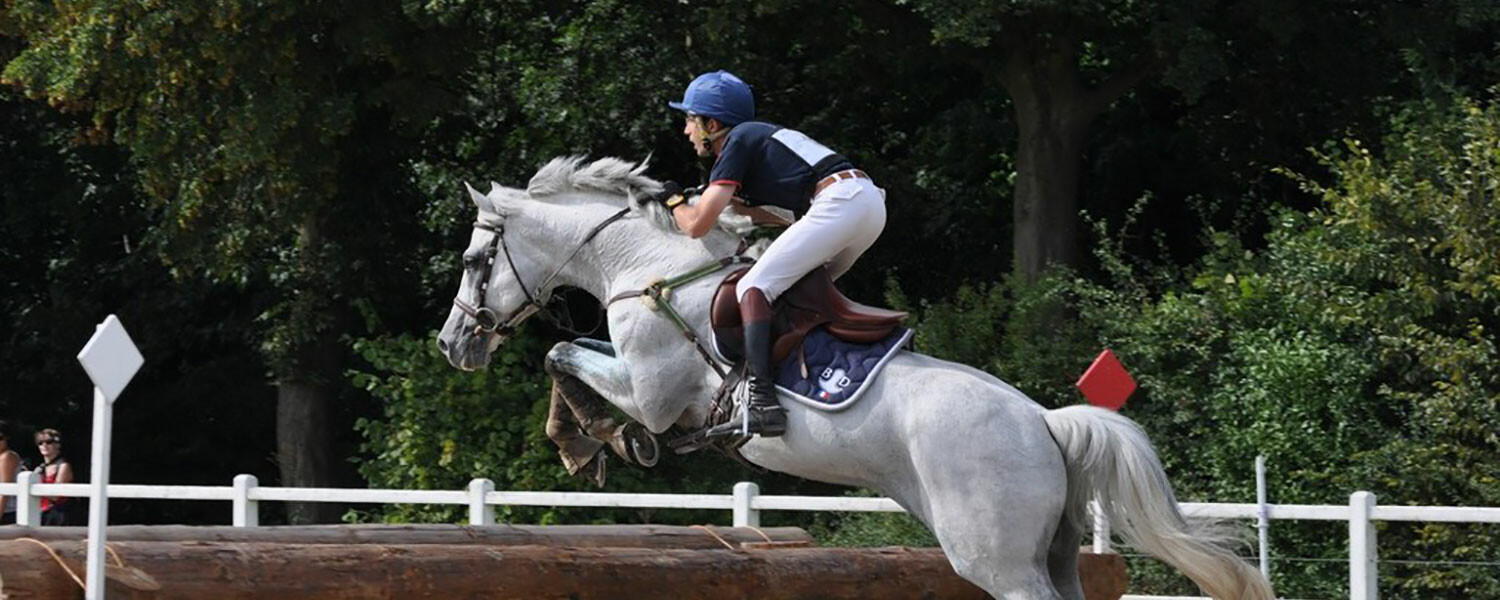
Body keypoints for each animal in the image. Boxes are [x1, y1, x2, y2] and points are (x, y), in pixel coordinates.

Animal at [438, 156, 1272, 600]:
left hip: (997, 557)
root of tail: (1044, 422)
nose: (453, 345)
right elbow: (568, 356)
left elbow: (562, 356)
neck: (648, 266)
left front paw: (595, 441)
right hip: (1054, 552)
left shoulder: (654, 391)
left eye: (476, 261)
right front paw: (595, 442)